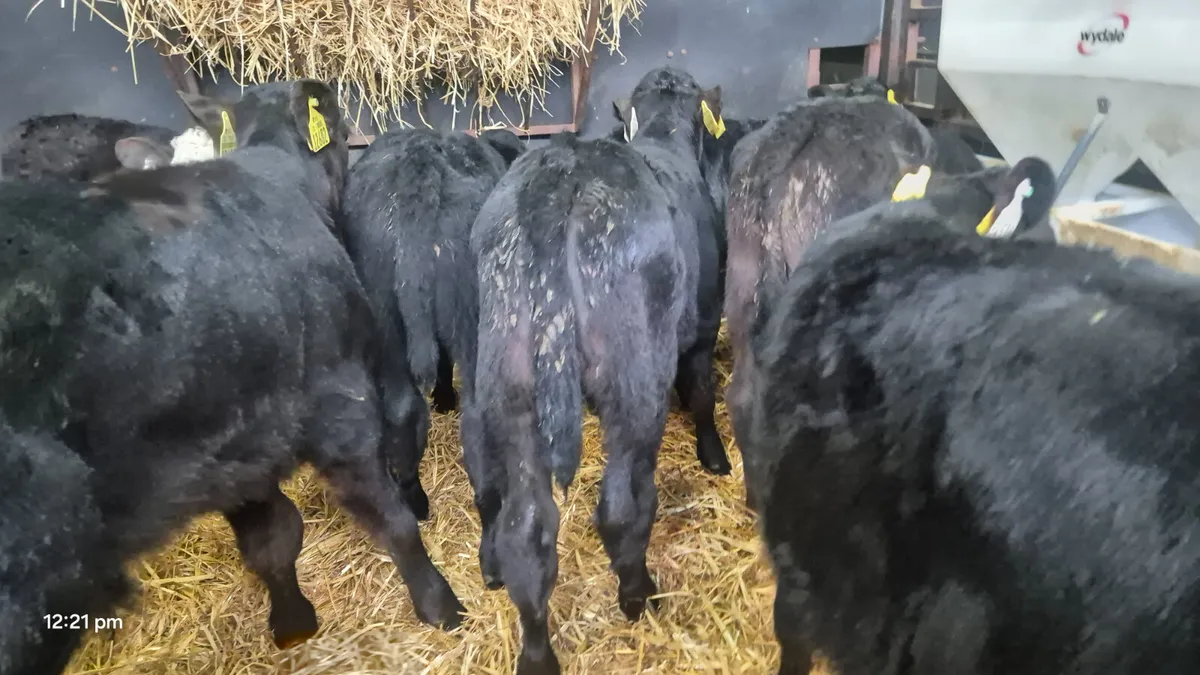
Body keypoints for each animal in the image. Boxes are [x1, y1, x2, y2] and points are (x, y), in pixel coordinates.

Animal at [0, 80, 463, 674]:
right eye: (339, 135)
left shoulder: (235, 454)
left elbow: (275, 539)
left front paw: (292, 618)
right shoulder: (339, 409)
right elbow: (388, 521)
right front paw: (439, 602)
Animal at [469, 66, 729, 674]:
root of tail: (563, 178)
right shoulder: (706, 321)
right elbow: (702, 392)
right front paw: (713, 453)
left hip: (509, 385)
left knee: (526, 532)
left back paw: (537, 654)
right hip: (634, 381)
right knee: (621, 505)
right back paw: (638, 595)